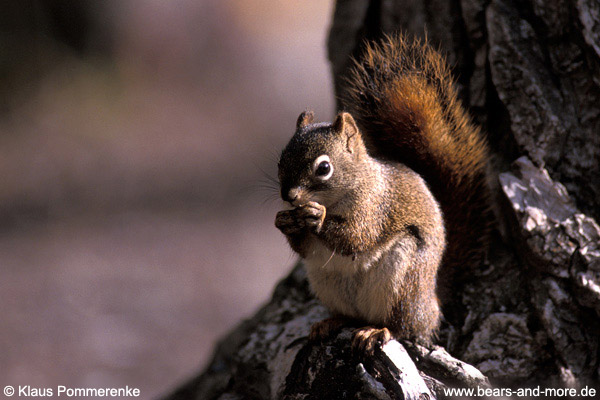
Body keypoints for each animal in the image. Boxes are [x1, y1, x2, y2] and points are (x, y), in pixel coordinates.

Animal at [274, 34, 490, 354]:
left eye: (324, 168)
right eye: (281, 160)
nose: (289, 196)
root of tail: (433, 301)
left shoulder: (376, 207)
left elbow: (357, 237)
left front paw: (316, 216)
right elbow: (305, 247)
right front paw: (283, 221)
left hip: (404, 282)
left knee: (404, 327)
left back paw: (378, 330)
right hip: (329, 284)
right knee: (350, 316)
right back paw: (330, 322)